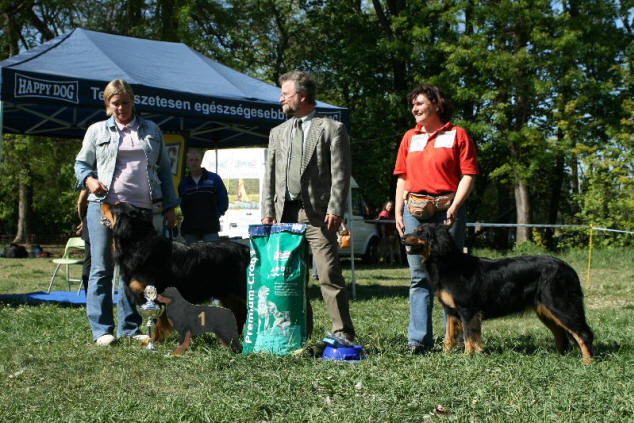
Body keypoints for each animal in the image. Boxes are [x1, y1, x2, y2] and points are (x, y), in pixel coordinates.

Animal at [100, 203, 248, 344]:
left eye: (114, 206)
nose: (102, 201)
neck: (137, 243)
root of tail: (246, 249)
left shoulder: (157, 295)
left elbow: (158, 323)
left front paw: (153, 341)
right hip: (229, 295)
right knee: (239, 314)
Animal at [402, 222, 592, 364]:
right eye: (415, 229)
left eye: (421, 232)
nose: (403, 236)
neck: (447, 262)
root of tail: (568, 268)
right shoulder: (451, 311)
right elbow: (449, 337)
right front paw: (446, 356)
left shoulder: (468, 310)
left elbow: (469, 337)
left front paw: (468, 357)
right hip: (545, 311)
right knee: (561, 335)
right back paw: (560, 358)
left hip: (560, 306)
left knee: (583, 333)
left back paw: (587, 361)